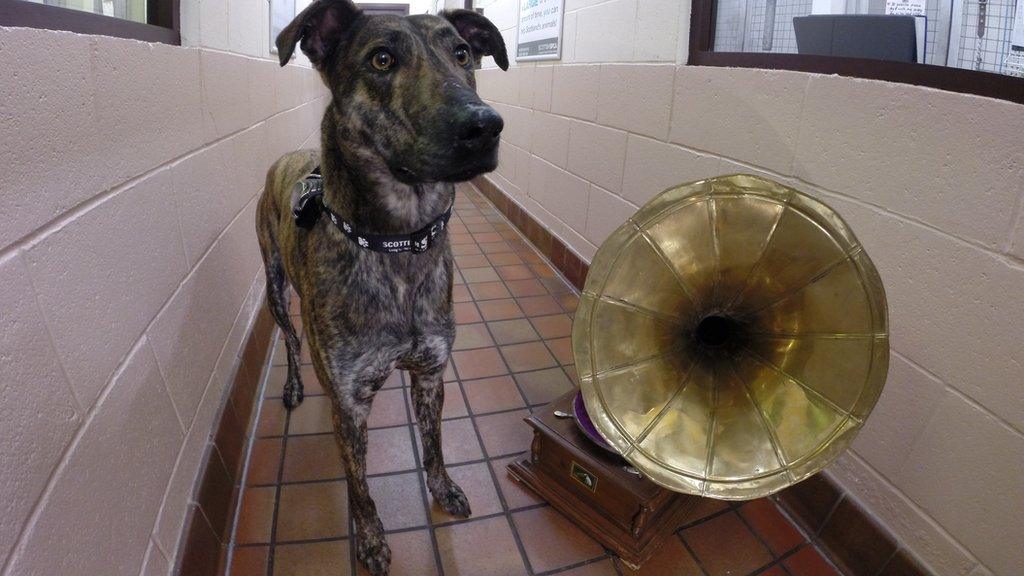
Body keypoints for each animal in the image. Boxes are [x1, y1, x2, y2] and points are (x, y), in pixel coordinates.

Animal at [256, 2, 507, 569]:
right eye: (382, 59)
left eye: (463, 52)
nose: (484, 126)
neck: (397, 246)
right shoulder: (349, 405)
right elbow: (359, 486)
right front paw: (370, 539)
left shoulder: (431, 373)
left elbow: (434, 445)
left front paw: (443, 488)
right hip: (275, 288)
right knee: (290, 339)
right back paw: (293, 384)